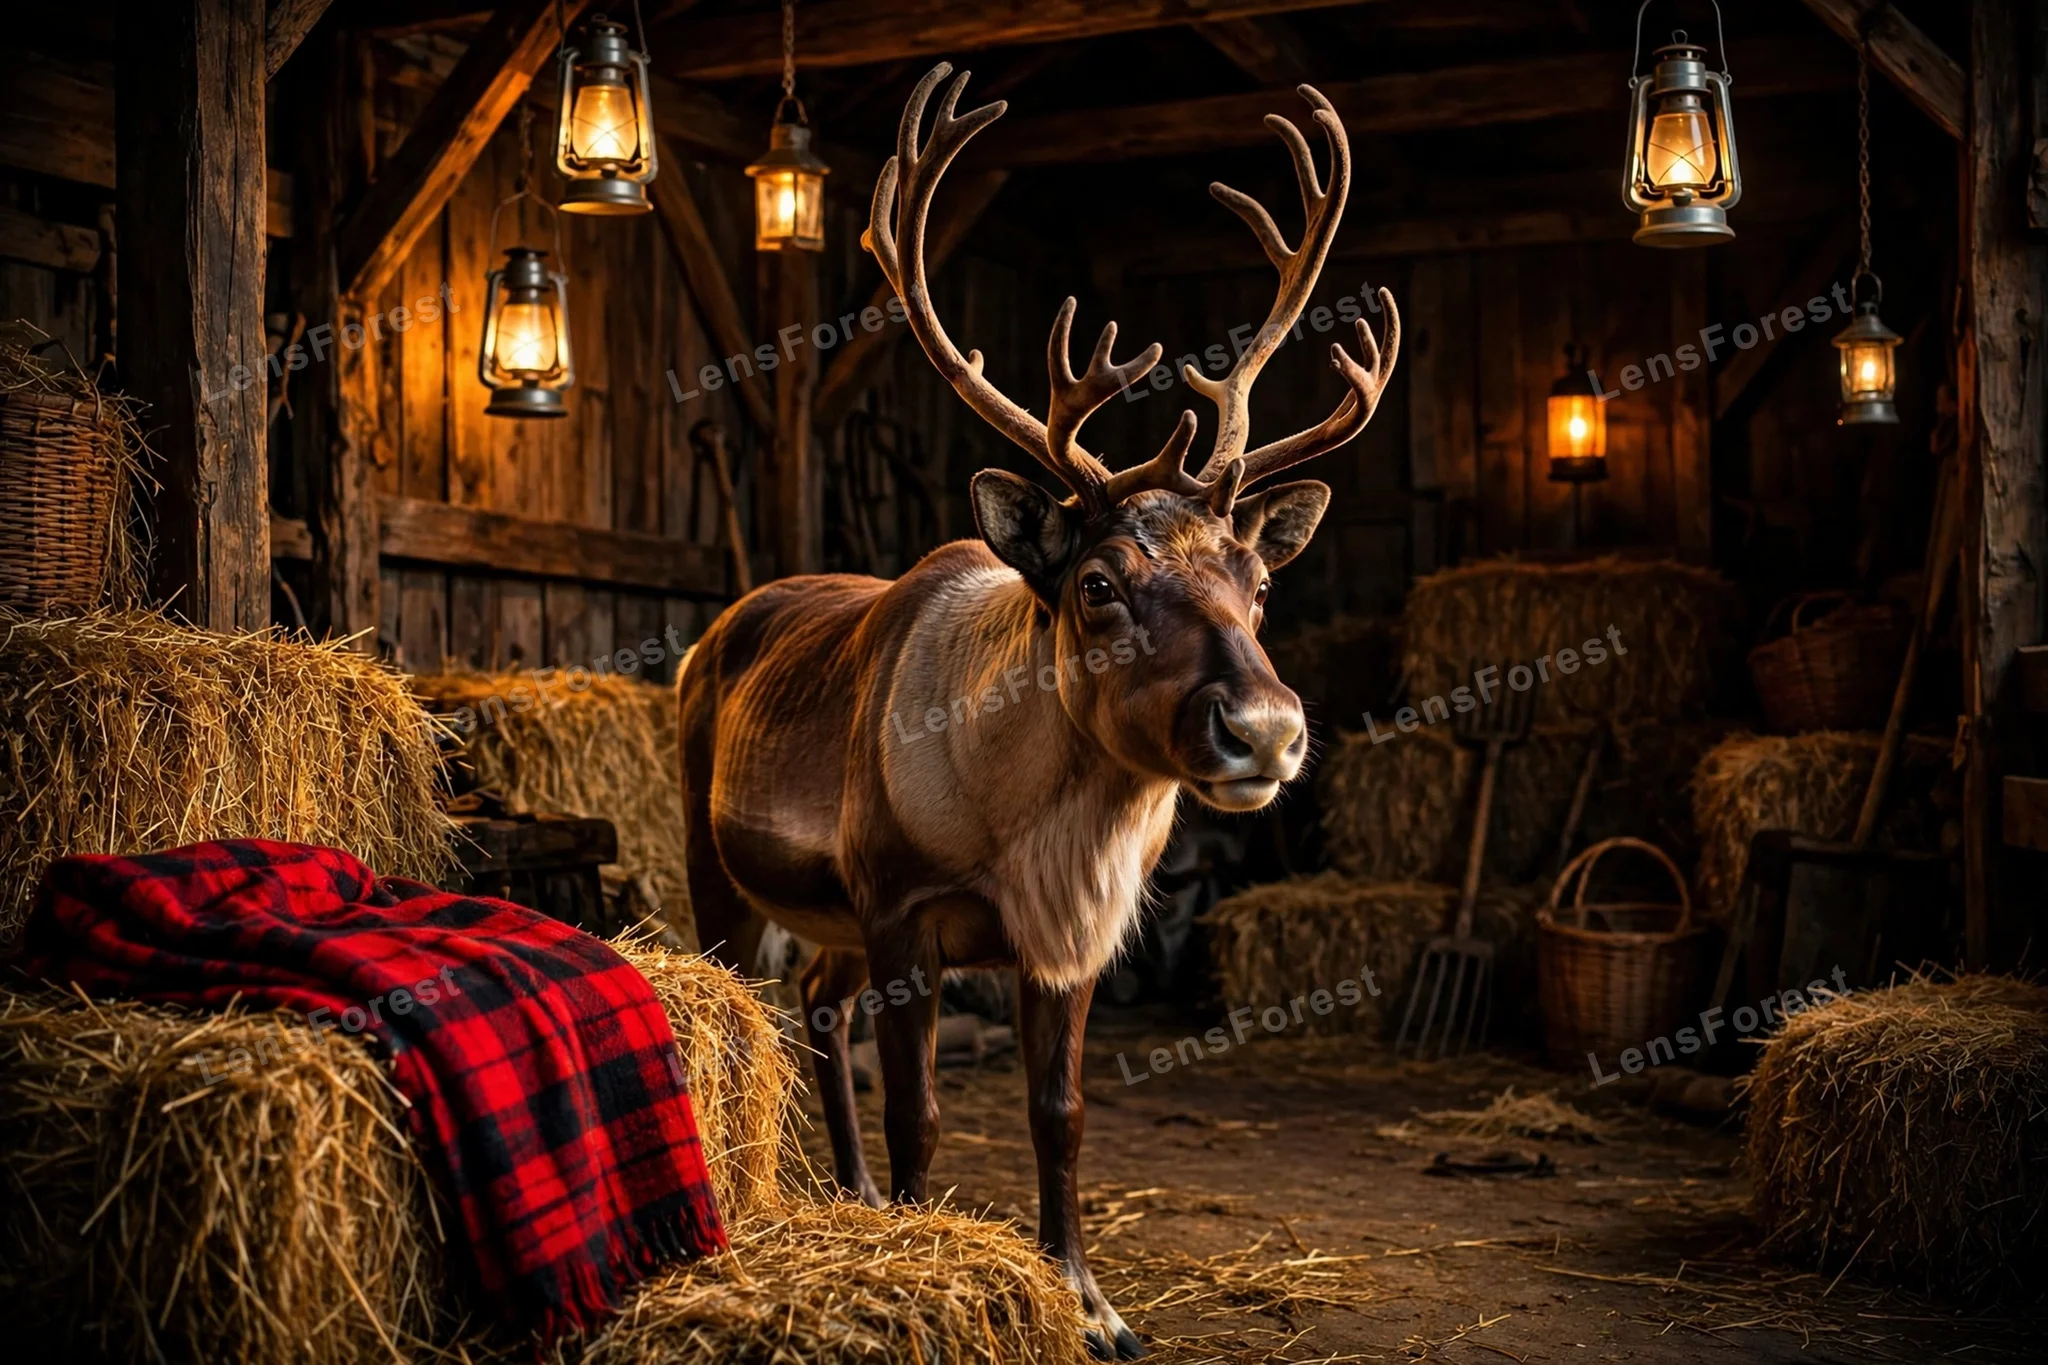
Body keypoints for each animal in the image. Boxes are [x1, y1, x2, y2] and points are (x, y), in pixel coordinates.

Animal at [677, 63, 1398, 1360]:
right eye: (1099, 582)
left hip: (831, 923)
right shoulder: (901, 911)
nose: (1265, 730)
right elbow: (918, 1110)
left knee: (815, 1005)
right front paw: (922, 1256)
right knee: (751, 1006)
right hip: (725, 867)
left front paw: (1088, 1300)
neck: (1028, 834)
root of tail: (718, 632)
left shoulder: (1068, 943)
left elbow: (1057, 1116)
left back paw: (852, 1196)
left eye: (1258, 581)